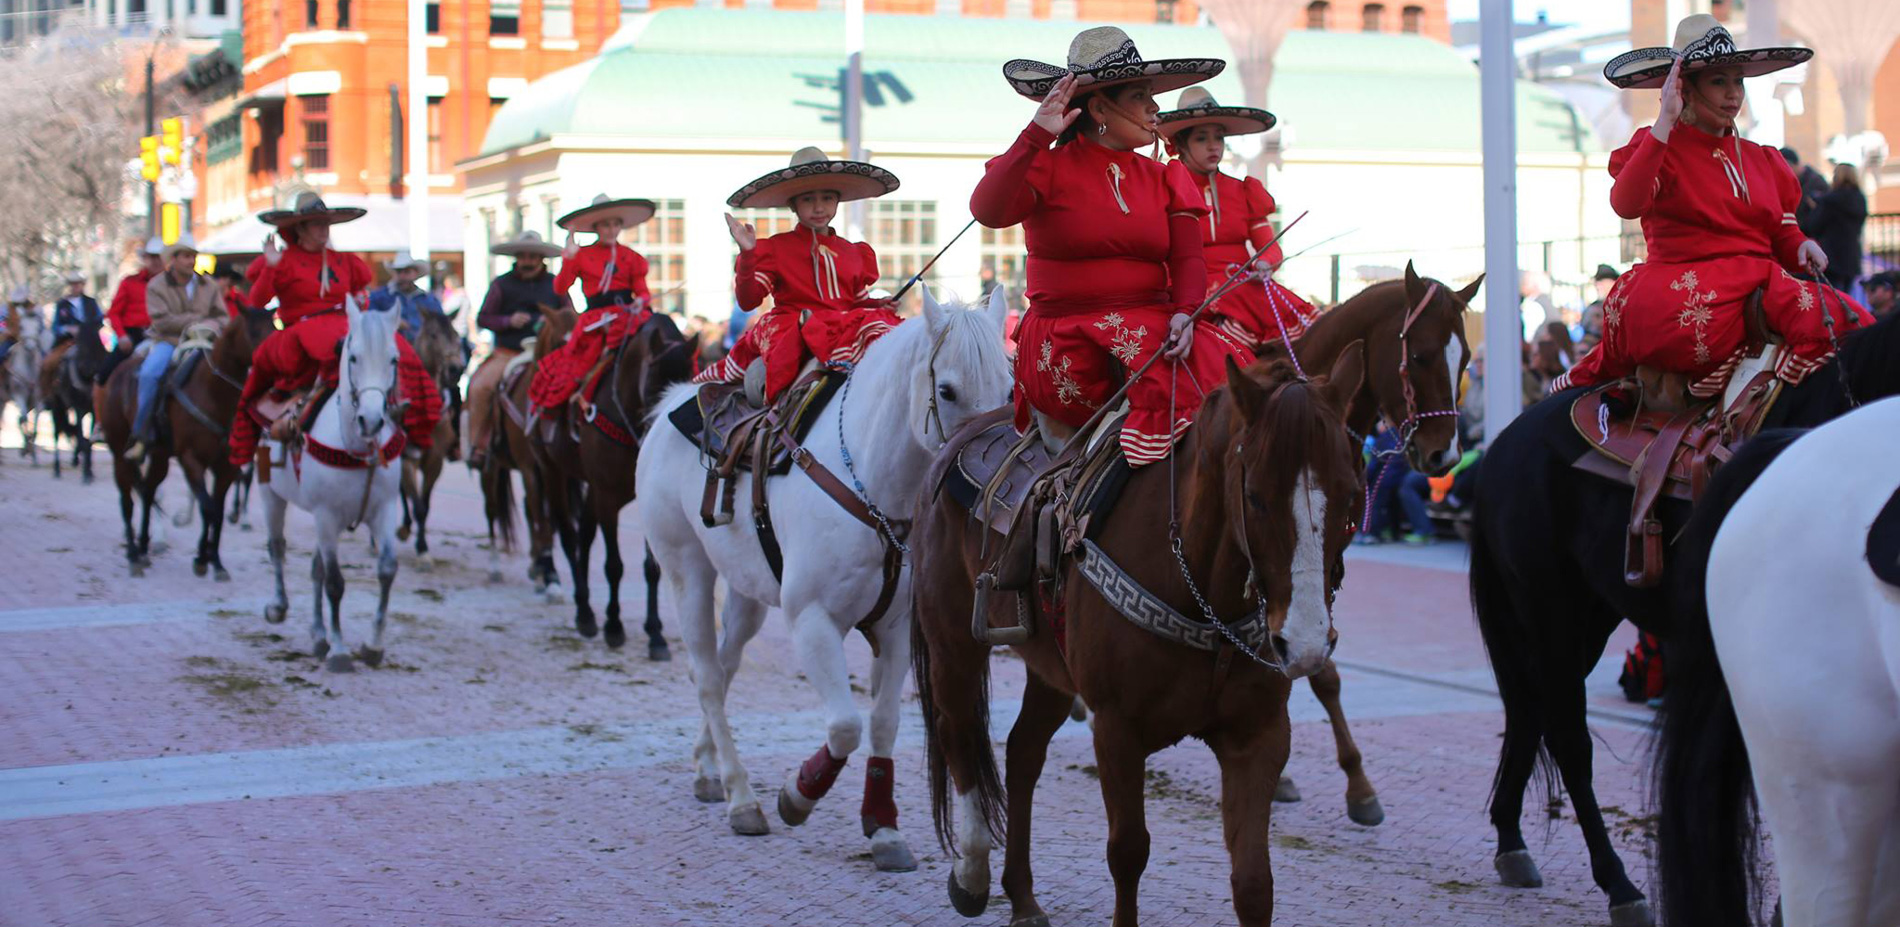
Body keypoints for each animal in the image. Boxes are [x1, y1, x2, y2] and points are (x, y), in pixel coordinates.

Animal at [260, 300, 408, 668]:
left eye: (394, 359)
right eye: (353, 357)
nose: (371, 420)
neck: (356, 448)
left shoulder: (384, 510)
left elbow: (386, 570)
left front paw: (372, 644)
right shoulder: (326, 515)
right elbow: (335, 583)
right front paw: (340, 651)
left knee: (315, 569)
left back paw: (318, 635)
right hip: (270, 493)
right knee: (278, 548)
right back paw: (279, 607)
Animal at [638, 286, 1018, 866]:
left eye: (1010, 386)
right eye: (947, 390)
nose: (988, 473)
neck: (871, 488)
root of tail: (670, 407)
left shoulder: (896, 628)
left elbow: (882, 724)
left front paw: (884, 828)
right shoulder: (812, 622)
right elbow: (844, 727)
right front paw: (799, 794)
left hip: (746, 591)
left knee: (724, 668)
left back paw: (708, 768)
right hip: (687, 572)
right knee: (706, 676)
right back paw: (741, 795)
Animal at [915, 349, 1375, 927]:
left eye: (1351, 493)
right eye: (1255, 497)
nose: (1306, 641)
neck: (1200, 591)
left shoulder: (1260, 735)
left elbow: (1254, 882)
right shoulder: (1117, 730)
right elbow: (1129, 851)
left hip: (1051, 670)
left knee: (1023, 752)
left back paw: (1022, 897)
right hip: (954, 644)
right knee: (957, 734)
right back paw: (973, 874)